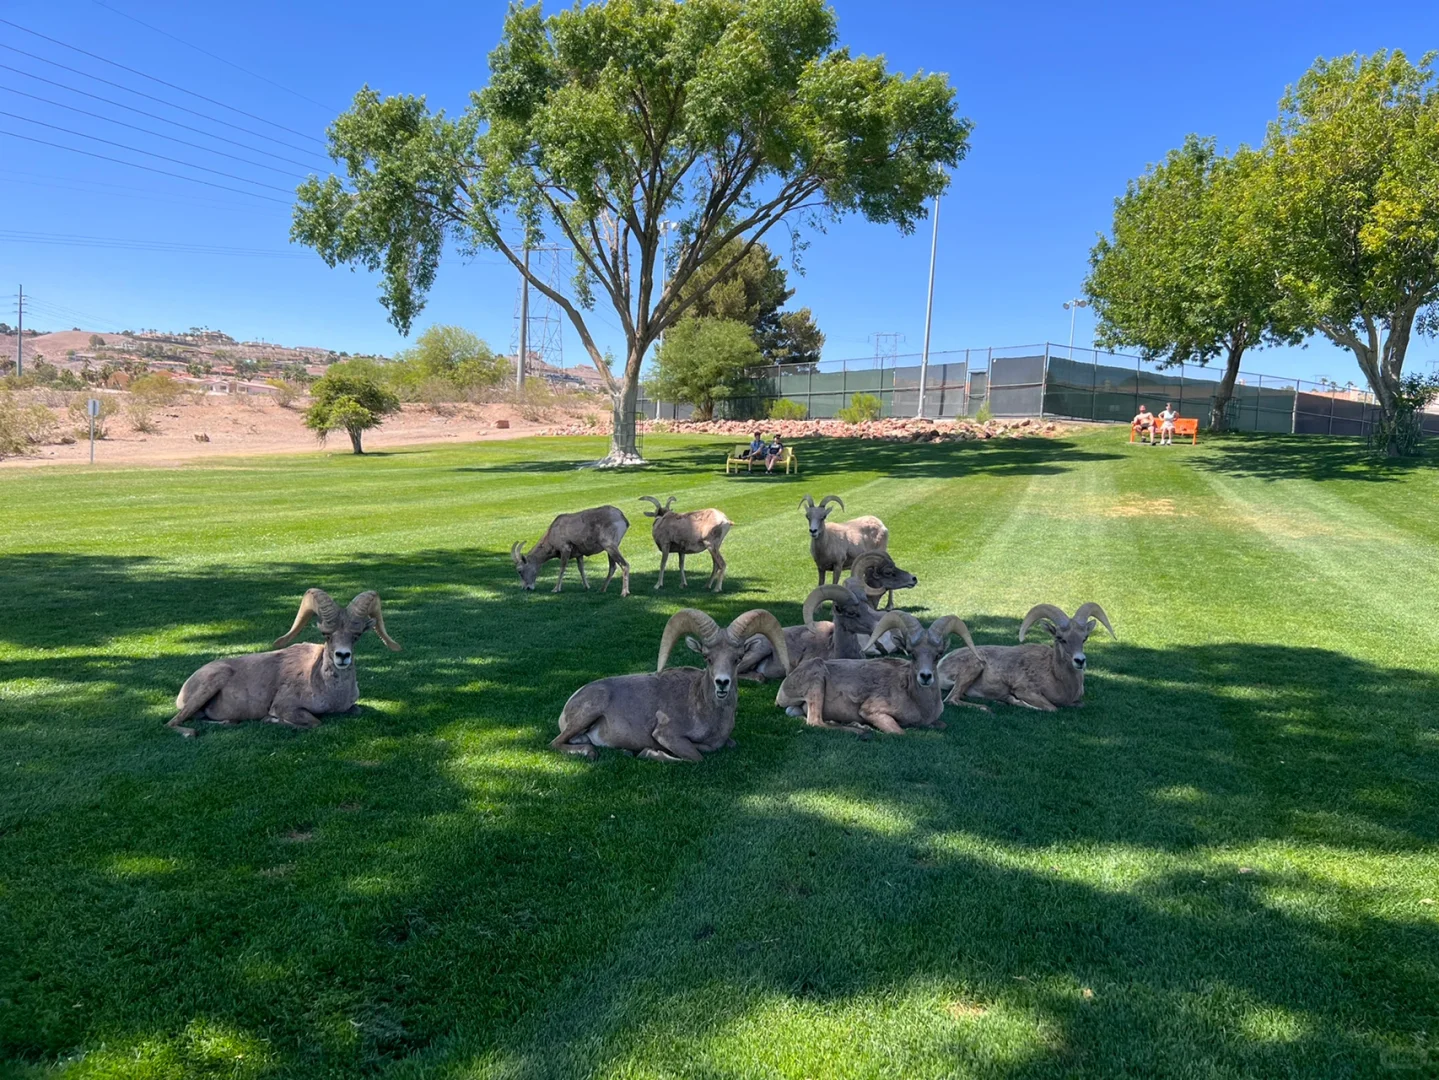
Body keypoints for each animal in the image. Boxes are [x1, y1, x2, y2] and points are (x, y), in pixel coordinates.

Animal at [166, 589, 401, 737]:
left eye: (357, 636)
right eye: (326, 635)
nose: (342, 656)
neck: (329, 690)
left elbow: (357, 711)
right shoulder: (287, 707)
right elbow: (315, 723)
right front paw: (270, 720)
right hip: (213, 681)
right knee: (172, 723)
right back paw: (191, 733)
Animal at [551, 607, 788, 762]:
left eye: (738, 658)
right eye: (707, 658)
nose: (722, 683)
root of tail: (570, 702)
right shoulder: (666, 736)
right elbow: (696, 756)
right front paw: (648, 753)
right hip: (587, 713)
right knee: (555, 743)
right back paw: (591, 753)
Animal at [774, 610, 980, 736]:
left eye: (938, 654)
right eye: (911, 654)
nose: (926, 676)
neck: (920, 704)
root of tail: (784, 687)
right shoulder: (873, 712)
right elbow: (900, 732)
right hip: (817, 683)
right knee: (815, 722)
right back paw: (862, 731)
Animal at [939, 603, 1115, 712]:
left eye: (1084, 638)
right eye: (1060, 638)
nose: (1080, 661)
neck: (1056, 678)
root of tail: (941, 663)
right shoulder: (1026, 691)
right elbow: (1052, 708)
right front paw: (1009, 700)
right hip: (975, 666)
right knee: (951, 699)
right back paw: (987, 707)